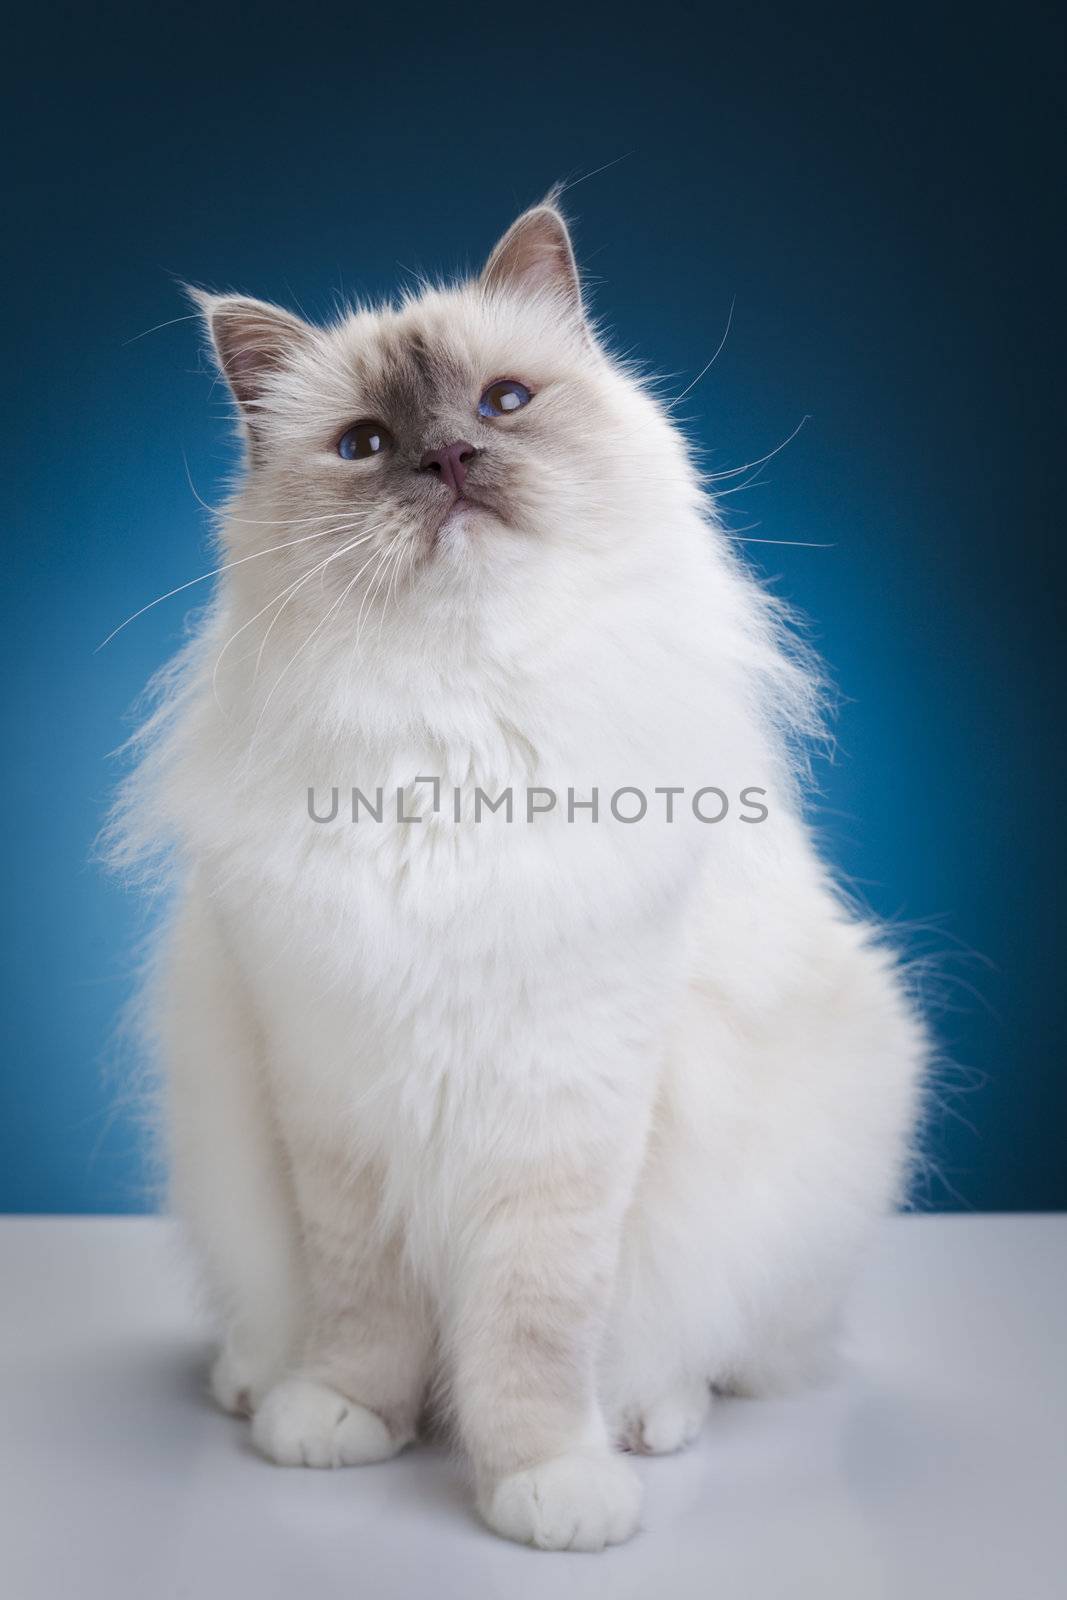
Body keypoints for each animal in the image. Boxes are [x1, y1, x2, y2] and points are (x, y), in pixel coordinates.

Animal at [110, 196, 927, 1548]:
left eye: (501, 402)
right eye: (365, 443)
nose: (447, 458)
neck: (459, 740)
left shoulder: (561, 1111)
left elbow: (531, 1331)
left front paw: (547, 1485)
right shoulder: (334, 1101)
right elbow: (363, 1310)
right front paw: (341, 1421)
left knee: (709, 1352)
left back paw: (647, 1419)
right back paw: (255, 1381)